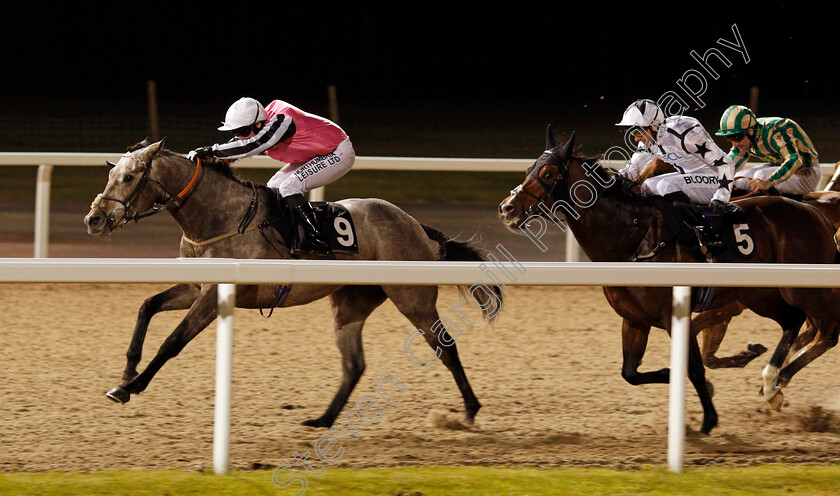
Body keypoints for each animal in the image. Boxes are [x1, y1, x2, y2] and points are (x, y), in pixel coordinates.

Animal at [85, 139, 502, 426]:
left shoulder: (216, 292)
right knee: (354, 365)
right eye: (110, 175)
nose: (94, 219)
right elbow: (147, 306)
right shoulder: (195, 286)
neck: (219, 217)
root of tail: (416, 225)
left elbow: (172, 342)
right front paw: (127, 372)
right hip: (351, 302)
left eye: (129, 177)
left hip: (412, 297)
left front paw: (129, 387)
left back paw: (469, 410)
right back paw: (323, 420)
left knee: (445, 346)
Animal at [496, 128, 840, 434]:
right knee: (793, 322)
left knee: (825, 330)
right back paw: (773, 385)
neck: (635, 236)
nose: (507, 208)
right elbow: (631, 373)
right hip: (761, 295)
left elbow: (695, 367)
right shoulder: (634, 319)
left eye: (549, 173)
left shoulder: (675, 313)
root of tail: (817, 214)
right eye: (528, 169)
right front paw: (700, 383)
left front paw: (708, 420)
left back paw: (775, 383)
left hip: (801, 289)